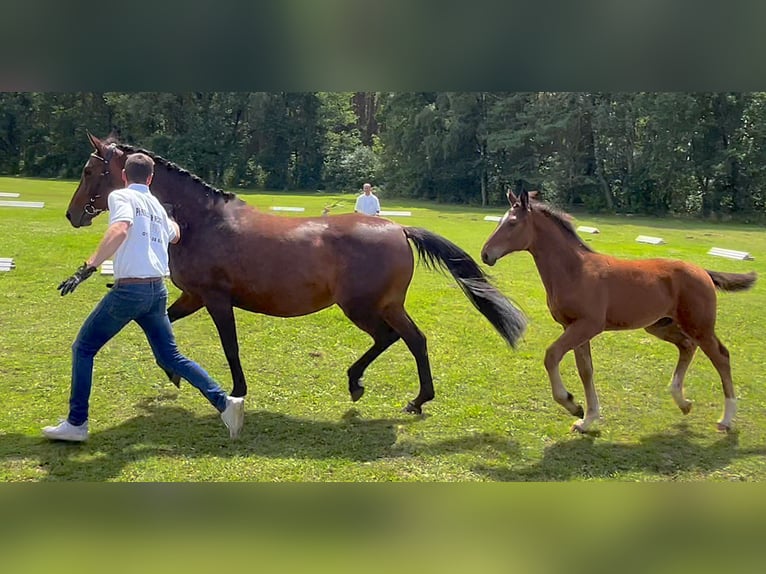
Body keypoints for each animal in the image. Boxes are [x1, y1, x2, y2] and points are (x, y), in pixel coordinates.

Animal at [484, 191, 760, 434]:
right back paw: (683, 402)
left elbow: (552, 355)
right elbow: (586, 370)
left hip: (700, 326)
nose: (485, 253)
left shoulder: (587, 325)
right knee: (686, 346)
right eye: (500, 220)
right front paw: (586, 419)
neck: (574, 270)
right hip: (660, 325)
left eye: (512, 223)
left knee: (721, 356)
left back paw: (725, 419)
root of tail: (703, 271)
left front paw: (572, 404)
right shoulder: (573, 327)